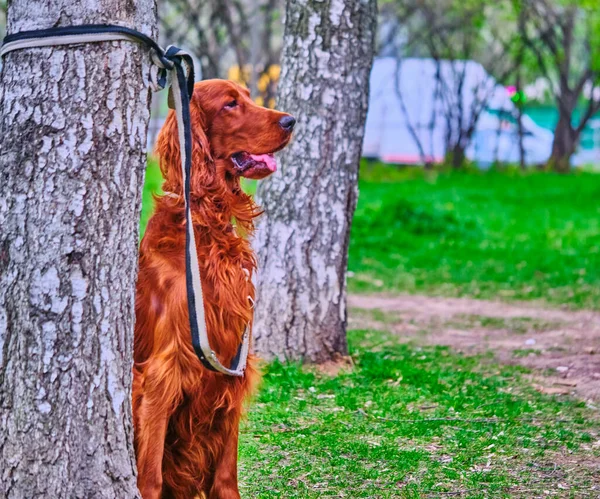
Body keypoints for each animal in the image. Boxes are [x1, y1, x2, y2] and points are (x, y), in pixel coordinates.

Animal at [135, 80, 296, 498]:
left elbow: (226, 475)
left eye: (248, 96)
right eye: (229, 104)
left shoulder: (231, 369)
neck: (203, 228)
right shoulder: (163, 372)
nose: (291, 120)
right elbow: (150, 476)